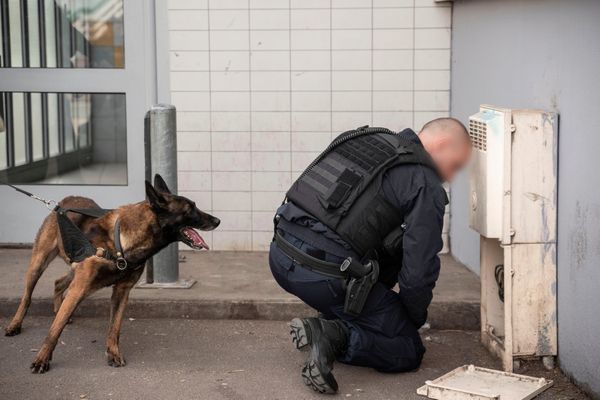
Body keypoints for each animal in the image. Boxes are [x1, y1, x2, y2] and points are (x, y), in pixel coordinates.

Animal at [3, 173, 219, 374]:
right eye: (190, 209)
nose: (217, 220)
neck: (121, 243)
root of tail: (63, 202)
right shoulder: (80, 288)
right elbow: (54, 330)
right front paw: (42, 360)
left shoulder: (121, 291)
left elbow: (114, 327)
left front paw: (113, 354)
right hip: (40, 264)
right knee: (27, 297)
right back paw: (15, 324)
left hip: (78, 276)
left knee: (58, 283)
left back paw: (58, 309)